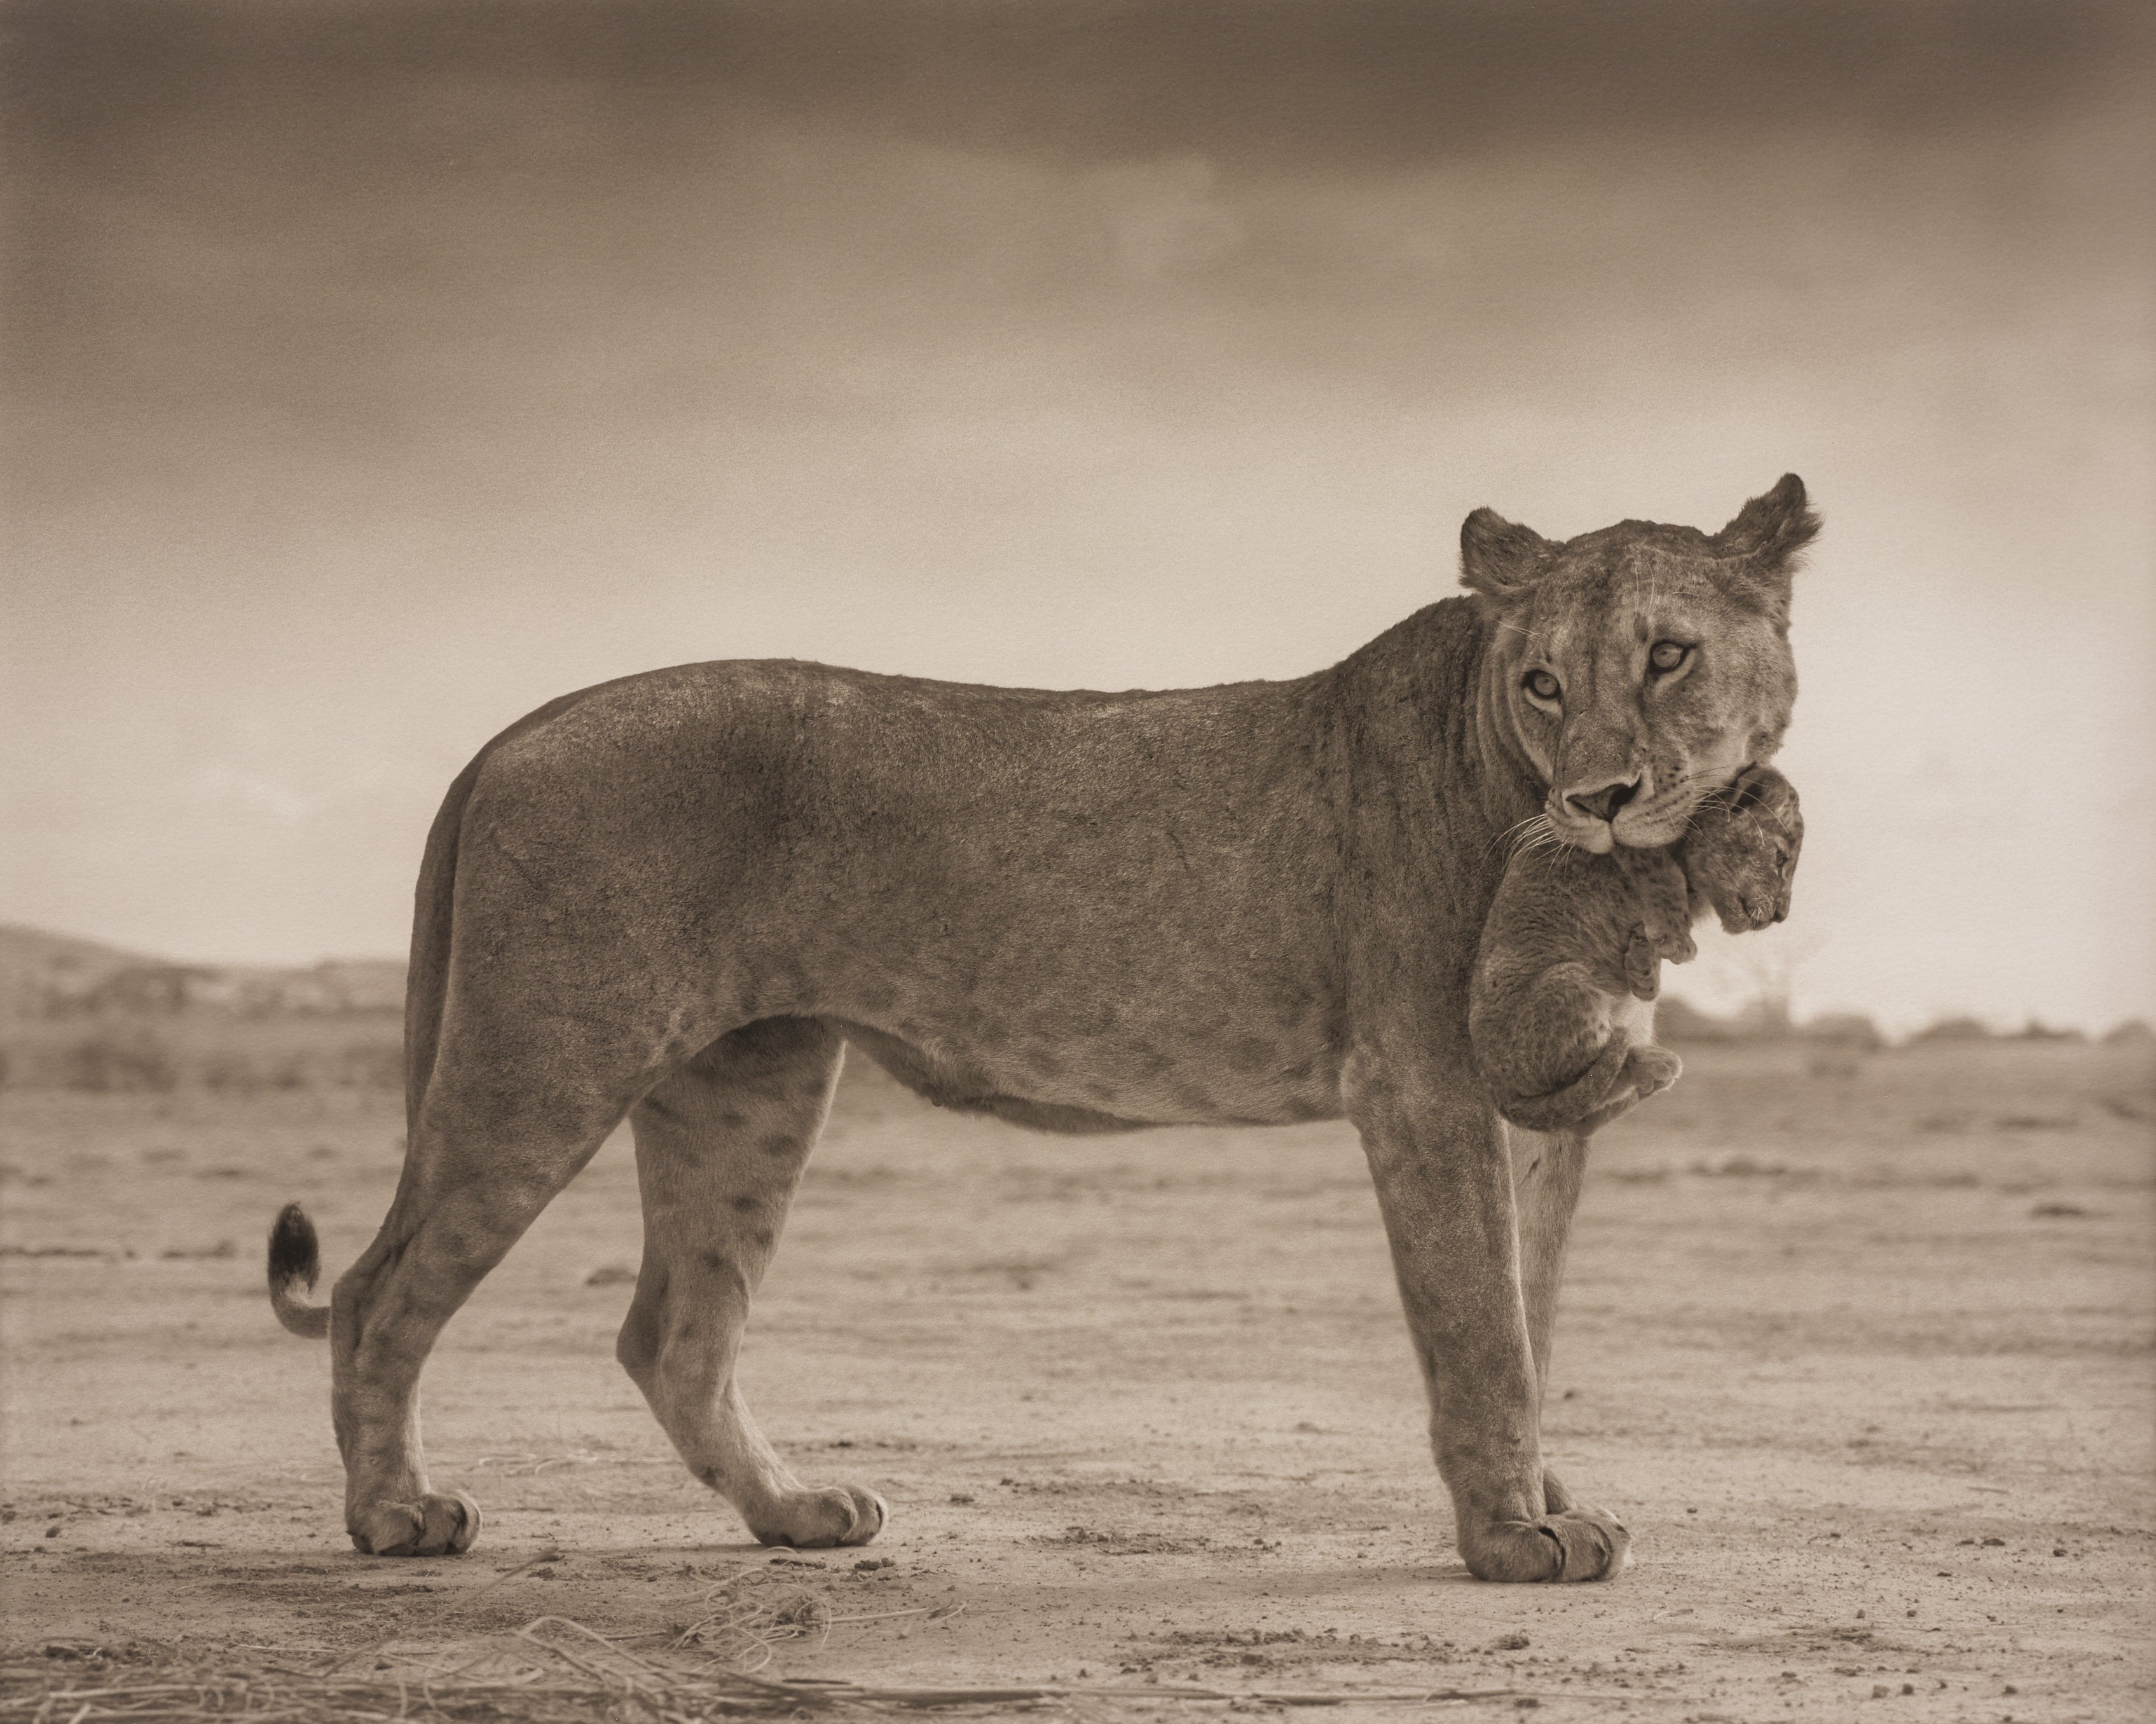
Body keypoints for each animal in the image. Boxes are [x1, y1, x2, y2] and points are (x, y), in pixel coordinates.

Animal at [1471, 764, 1805, 1134]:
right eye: (1780, 859)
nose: (1781, 915)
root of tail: (1492, 1085)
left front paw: (1647, 971)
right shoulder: (1615, 835)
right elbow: (1659, 870)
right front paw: (1675, 941)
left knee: (1582, 1114)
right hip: (1569, 981)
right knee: (1591, 1082)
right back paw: (1651, 1064)